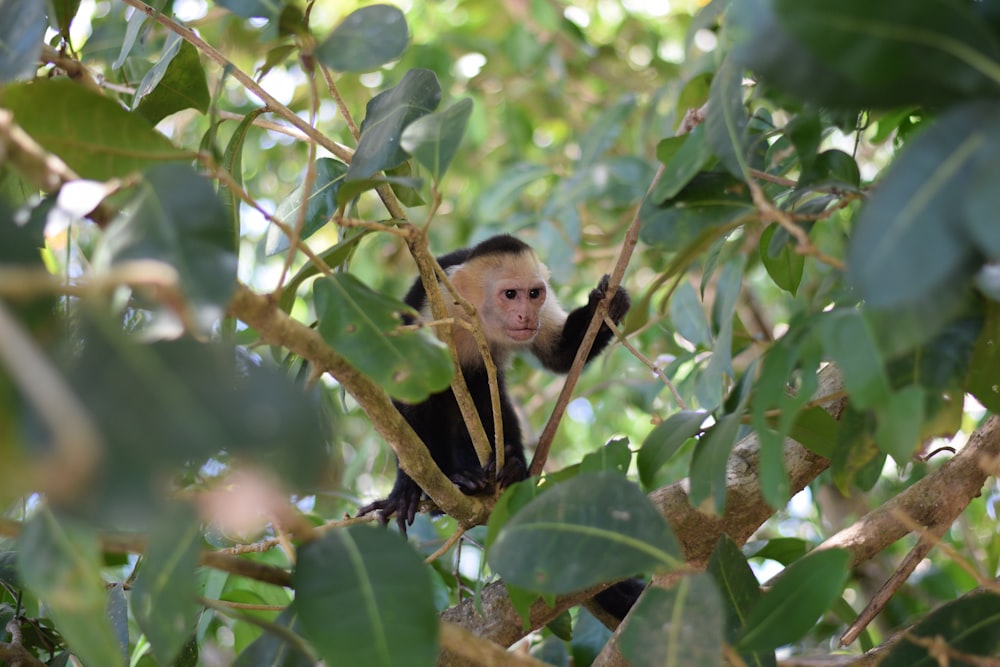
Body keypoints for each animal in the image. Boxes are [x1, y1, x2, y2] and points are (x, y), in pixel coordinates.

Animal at [356, 232, 628, 536]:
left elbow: (560, 357)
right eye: (510, 294)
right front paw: (405, 488)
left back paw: (511, 467)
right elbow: (411, 392)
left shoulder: (542, 311)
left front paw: (608, 305)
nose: (526, 315)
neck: (478, 319)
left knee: (489, 394)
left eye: (534, 294)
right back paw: (456, 482)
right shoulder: (431, 311)